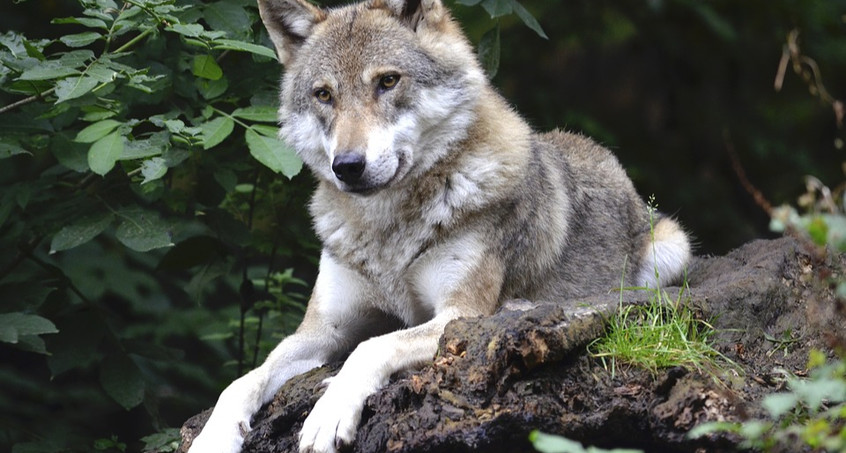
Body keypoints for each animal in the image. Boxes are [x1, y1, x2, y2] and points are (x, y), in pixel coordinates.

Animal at [187, 0, 696, 452]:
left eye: (388, 81)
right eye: (324, 94)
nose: (347, 166)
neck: (388, 231)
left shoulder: (458, 316)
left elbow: (371, 347)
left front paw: (328, 414)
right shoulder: (321, 331)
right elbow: (243, 379)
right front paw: (212, 437)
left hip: (671, 249)